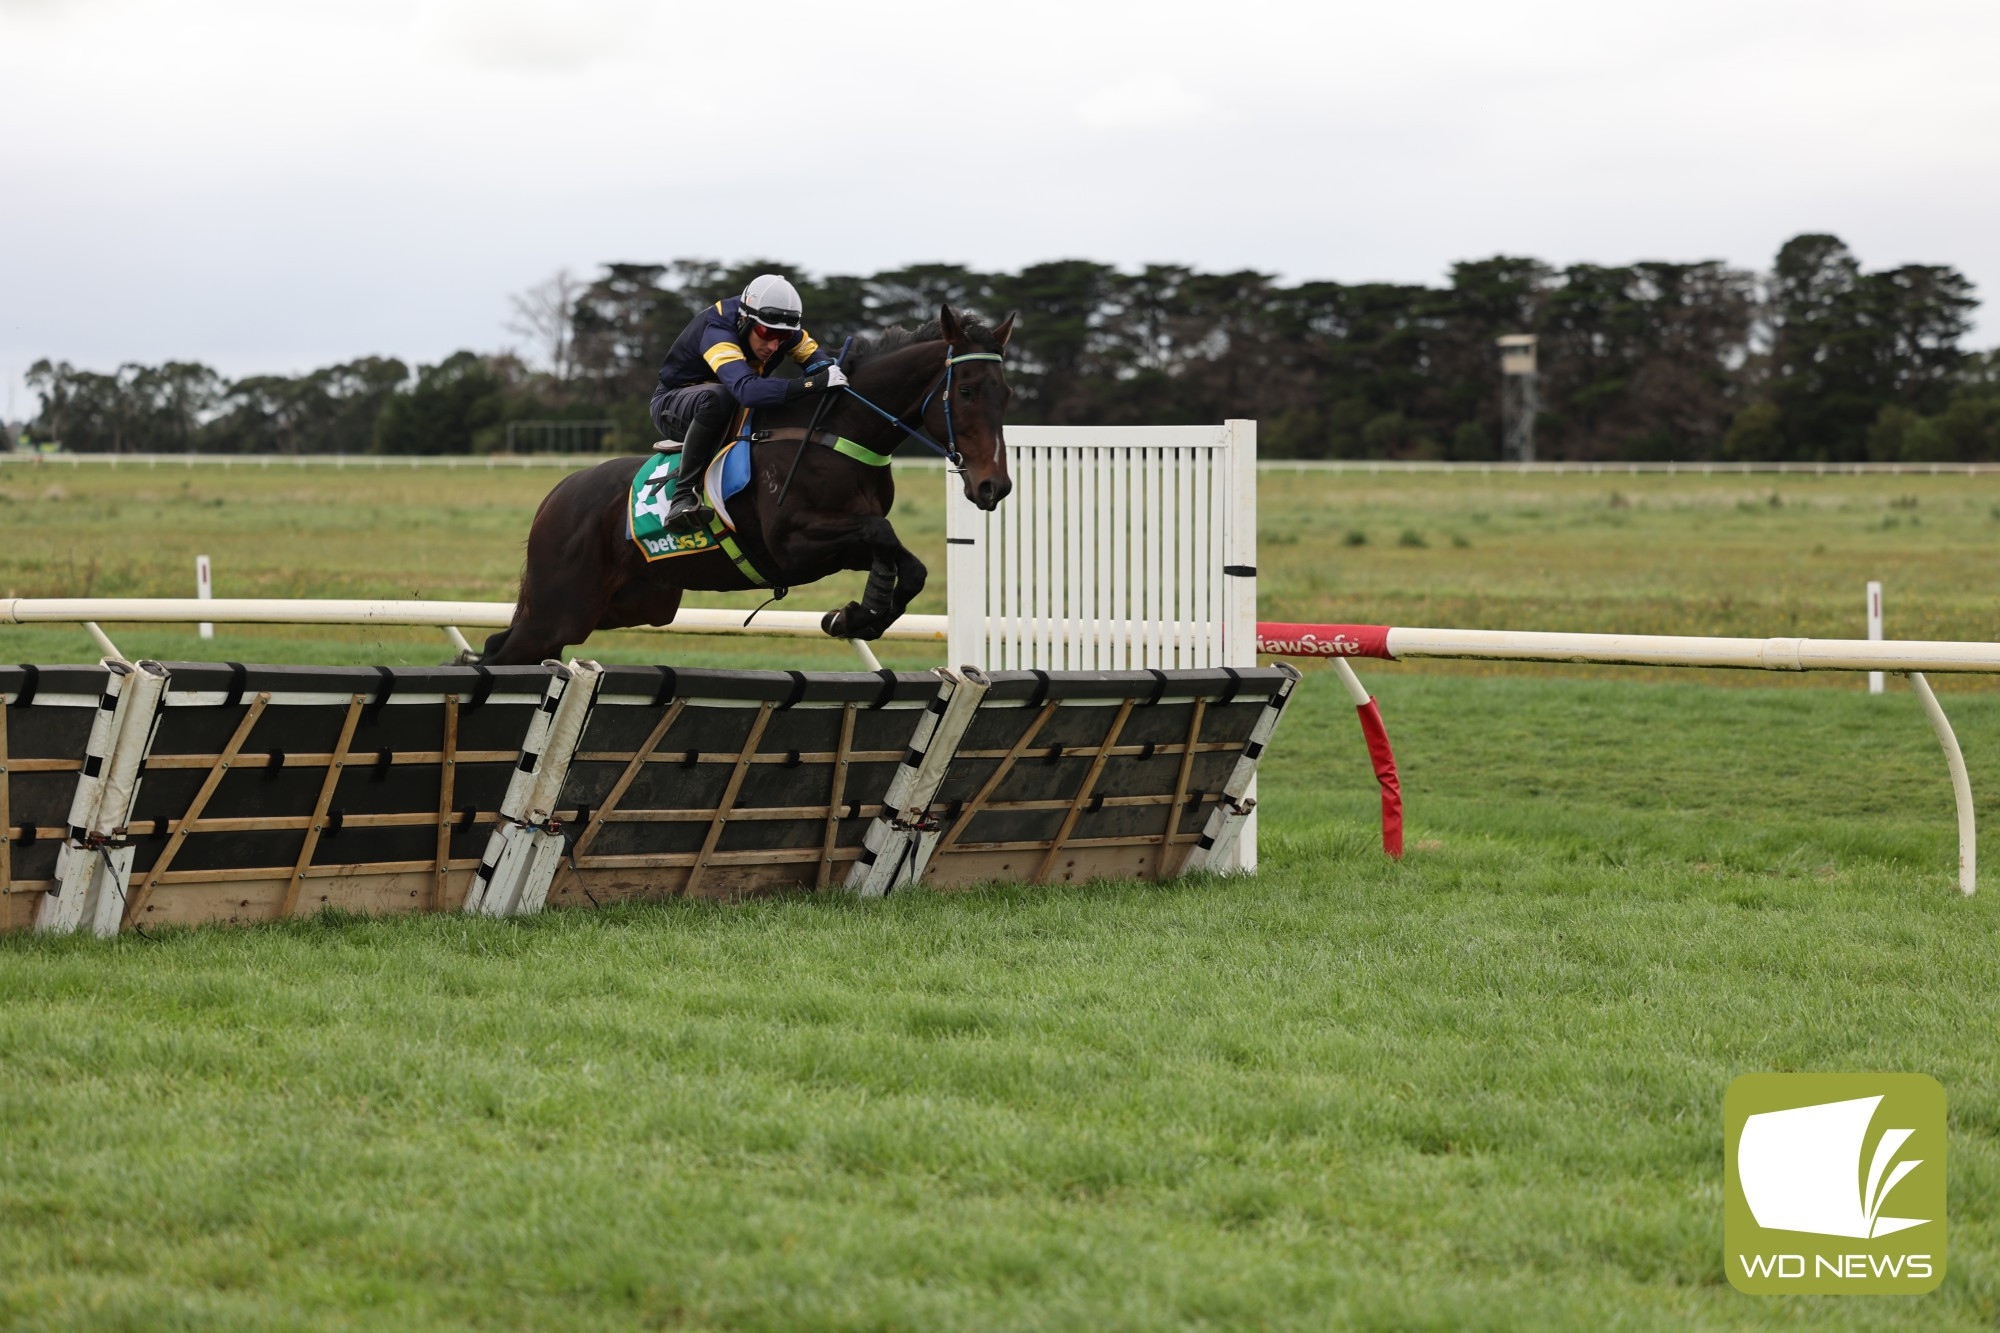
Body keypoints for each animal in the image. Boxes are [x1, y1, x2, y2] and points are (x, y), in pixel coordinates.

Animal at [476, 306, 1016, 668]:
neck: (835, 433)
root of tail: (557, 495)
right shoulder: (792, 546)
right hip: (560, 609)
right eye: (967, 391)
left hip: (630, 604)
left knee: (500, 645)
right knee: (503, 652)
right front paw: (860, 611)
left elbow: (911, 565)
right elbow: (881, 532)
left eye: (1006, 392)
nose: (994, 486)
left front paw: (860, 613)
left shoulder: (843, 542)